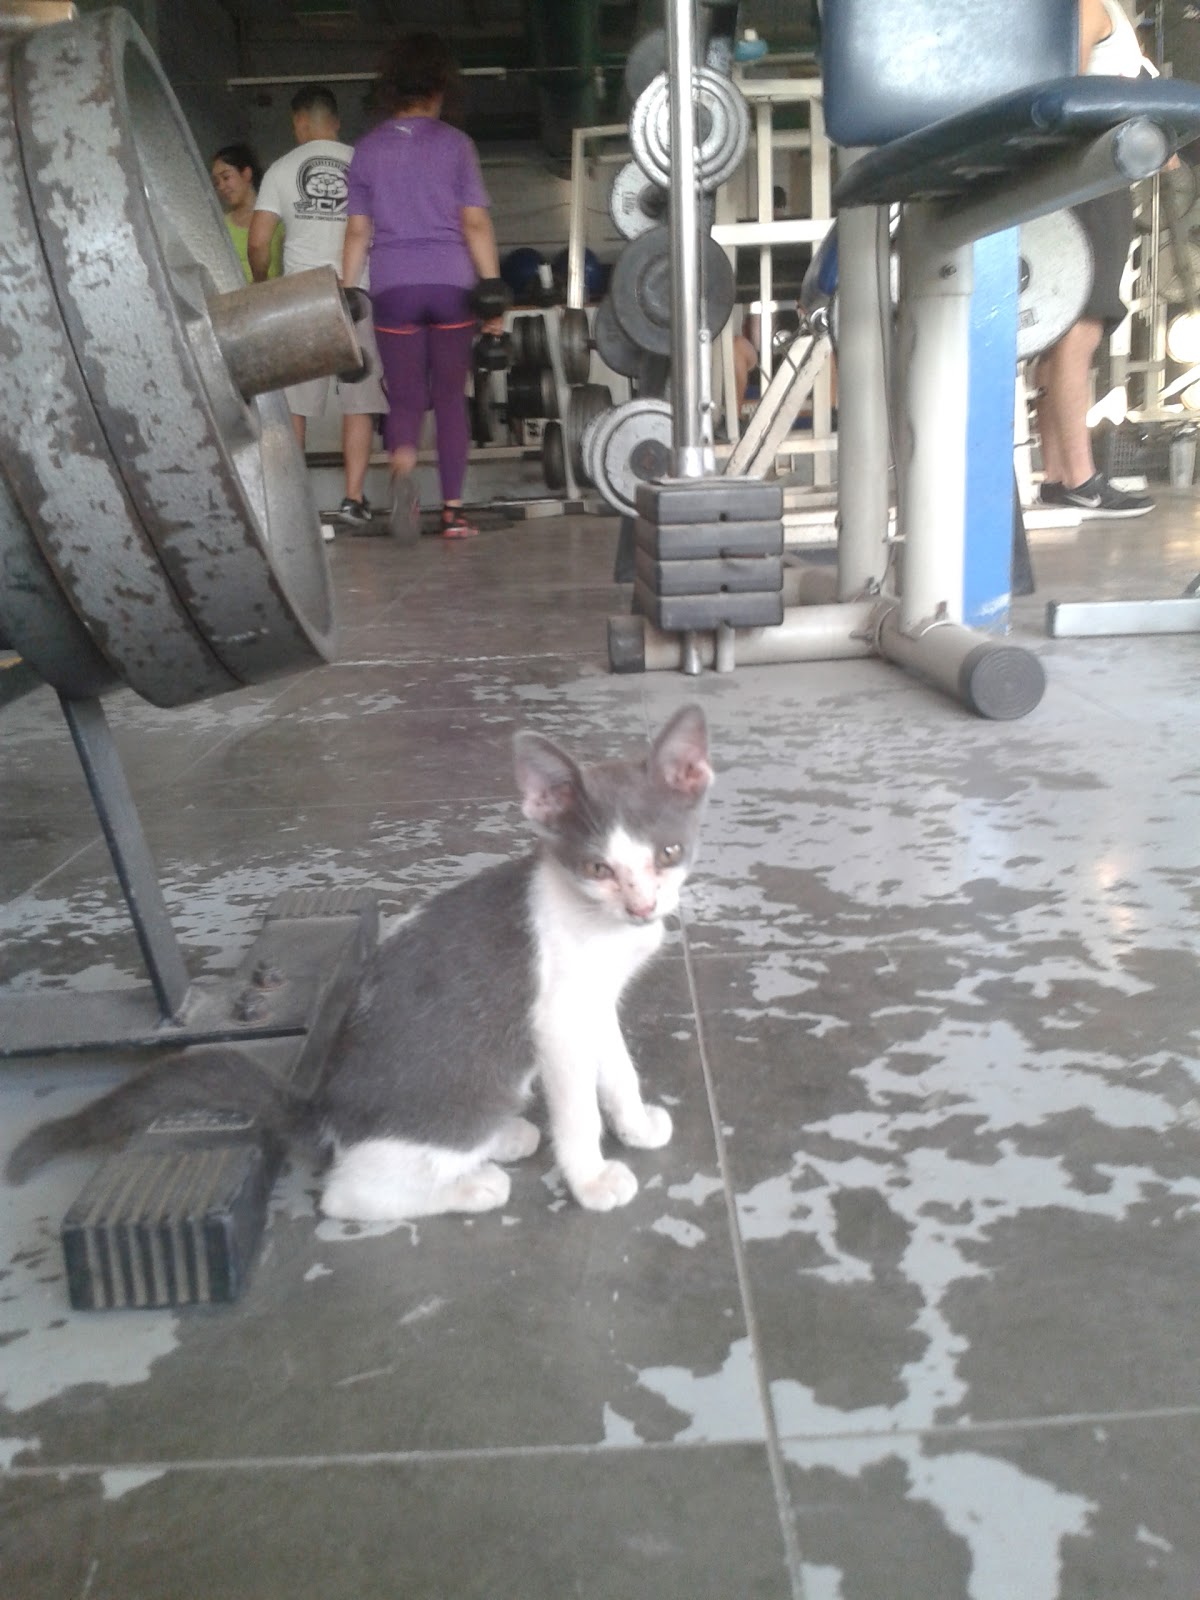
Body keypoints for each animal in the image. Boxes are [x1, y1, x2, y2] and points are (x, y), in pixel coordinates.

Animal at [6, 705, 714, 1223]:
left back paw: (502, 1139)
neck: (592, 919)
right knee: (349, 1192)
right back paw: (470, 1185)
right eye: (599, 867)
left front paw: (634, 1125)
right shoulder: (558, 1021)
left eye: (668, 852)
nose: (644, 907)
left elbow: (616, 1069)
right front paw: (591, 1179)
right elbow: (577, 1111)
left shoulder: (594, 1002)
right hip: (463, 1089)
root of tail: (326, 1112)